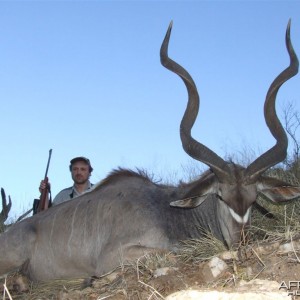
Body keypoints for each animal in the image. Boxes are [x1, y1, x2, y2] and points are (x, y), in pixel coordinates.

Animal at [0, 21, 300, 282]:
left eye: (253, 200)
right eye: (221, 196)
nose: (242, 243)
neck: (167, 211)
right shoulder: (113, 255)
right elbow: (171, 254)